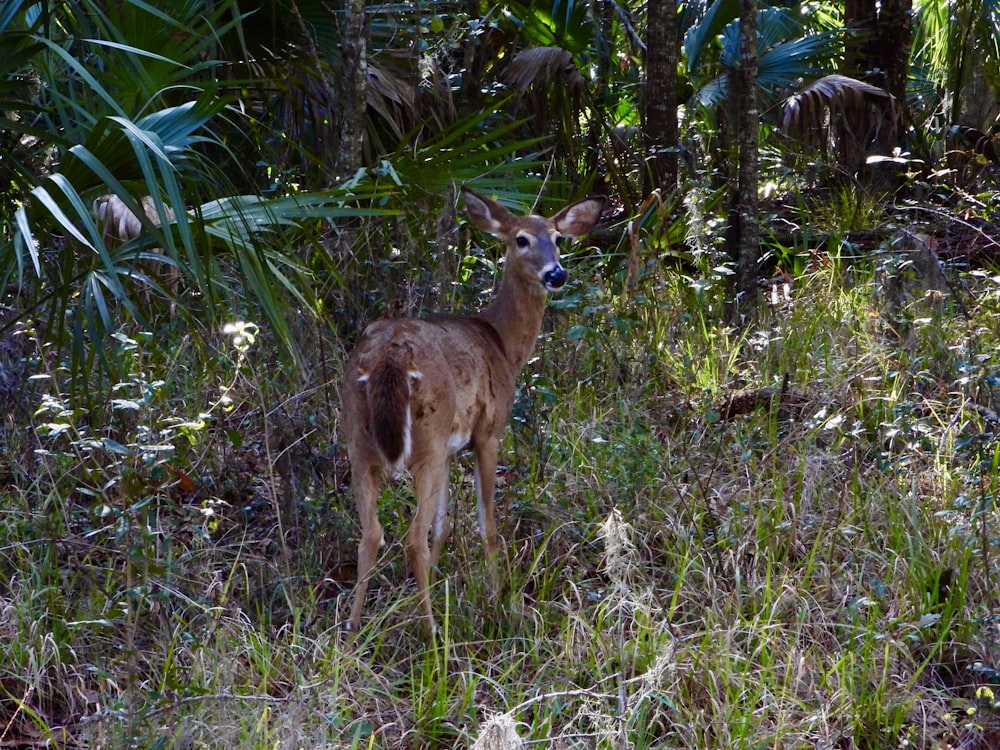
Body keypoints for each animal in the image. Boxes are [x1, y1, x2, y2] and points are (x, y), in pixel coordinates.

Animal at [340, 188, 604, 636]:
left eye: (557, 237)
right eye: (520, 239)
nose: (556, 275)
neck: (502, 344)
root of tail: (390, 359)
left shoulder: (449, 447)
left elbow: (445, 523)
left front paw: (439, 582)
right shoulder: (488, 432)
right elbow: (487, 524)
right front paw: (496, 596)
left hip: (361, 441)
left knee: (370, 533)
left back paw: (354, 630)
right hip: (424, 441)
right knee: (411, 537)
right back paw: (431, 632)